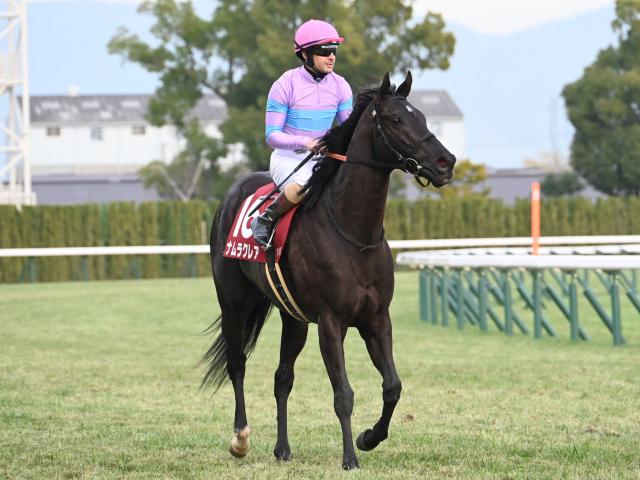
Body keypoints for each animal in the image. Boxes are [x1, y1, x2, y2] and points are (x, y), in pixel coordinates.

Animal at [202, 71, 456, 470]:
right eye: (396, 120)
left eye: (424, 118)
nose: (446, 162)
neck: (353, 233)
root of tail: (232, 194)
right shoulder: (331, 321)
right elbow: (343, 394)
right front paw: (350, 457)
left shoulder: (376, 319)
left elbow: (393, 386)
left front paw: (369, 438)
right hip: (234, 303)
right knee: (237, 364)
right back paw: (240, 439)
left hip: (293, 318)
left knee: (282, 377)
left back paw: (282, 449)